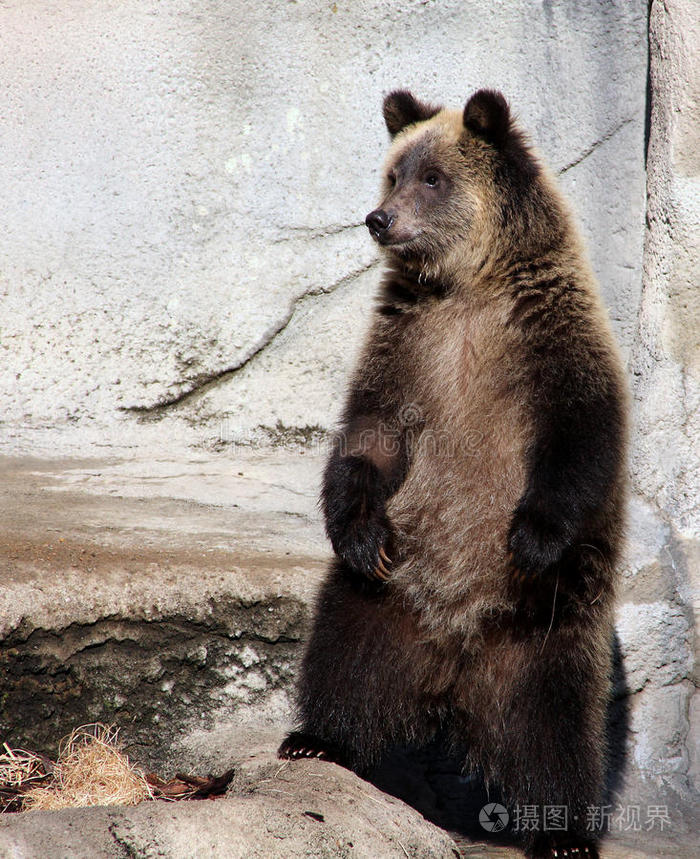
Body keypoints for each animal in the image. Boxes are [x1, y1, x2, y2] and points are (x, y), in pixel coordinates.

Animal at [279, 89, 628, 859]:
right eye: (393, 173)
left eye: (432, 178)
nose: (379, 218)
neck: (469, 285)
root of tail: (453, 666)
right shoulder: (409, 347)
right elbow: (368, 440)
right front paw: (358, 532)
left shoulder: (549, 341)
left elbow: (581, 439)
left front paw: (531, 535)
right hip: (388, 602)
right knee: (343, 656)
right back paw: (316, 738)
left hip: (543, 630)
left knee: (554, 728)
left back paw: (562, 831)